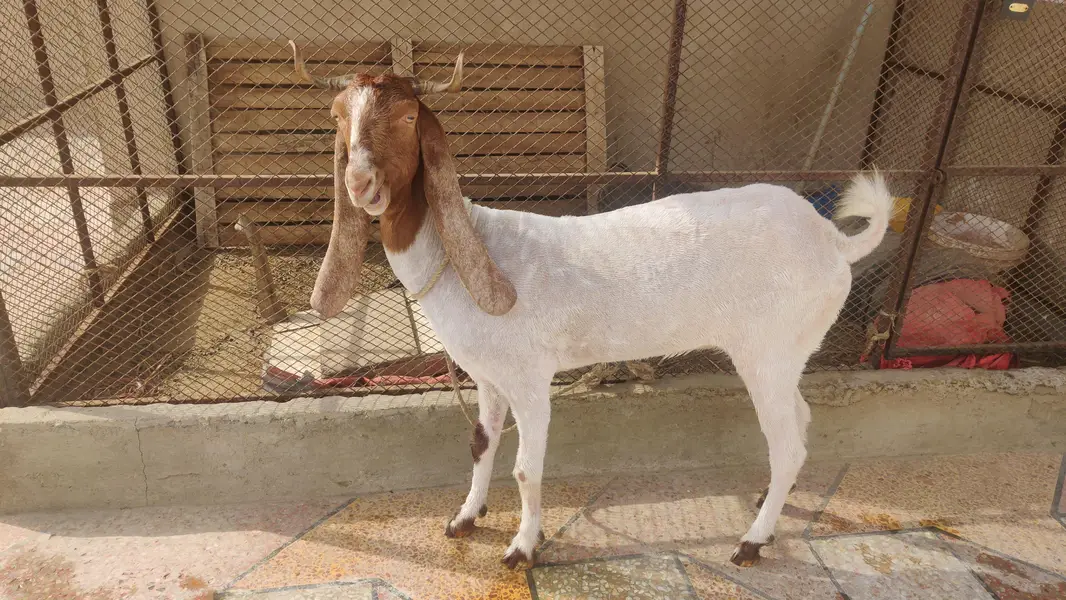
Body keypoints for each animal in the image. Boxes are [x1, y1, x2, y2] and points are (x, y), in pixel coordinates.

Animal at [289, 41, 893, 570]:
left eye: (410, 117)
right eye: (338, 117)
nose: (360, 182)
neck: (473, 250)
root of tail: (832, 241)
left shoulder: (530, 377)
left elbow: (526, 471)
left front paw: (522, 547)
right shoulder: (488, 375)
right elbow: (481, 443)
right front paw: (464, 518)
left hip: (768, 348)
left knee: (787, 442)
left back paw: (751, 541)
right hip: (791, 351)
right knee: (800, 421)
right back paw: (770, 503)